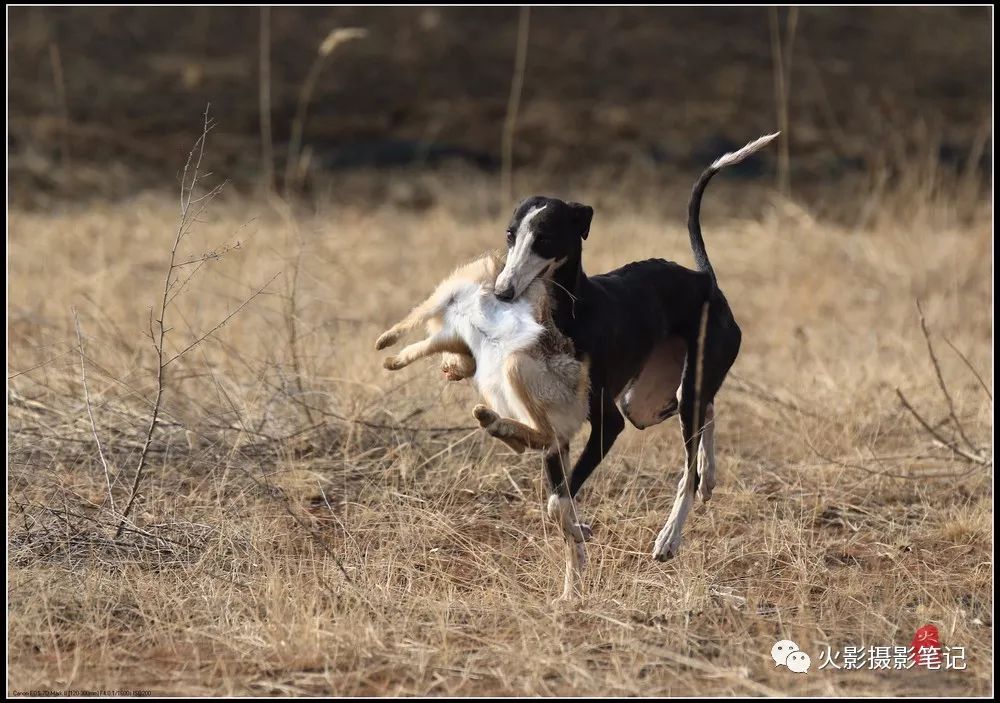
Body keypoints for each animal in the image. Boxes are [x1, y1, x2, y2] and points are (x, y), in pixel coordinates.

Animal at [494, 132, 780, 560]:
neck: (570, 313)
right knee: (708, 408)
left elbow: (557, 500)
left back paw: (670, 536)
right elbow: (558, 498)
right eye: (511, 236)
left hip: (673, 391)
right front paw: (578, 531)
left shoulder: (608, 423)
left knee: (687, 471)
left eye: (544, 239)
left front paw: (576, 530)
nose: (502, 292)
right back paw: (709, 473)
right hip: (645, 403)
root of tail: (705, 279)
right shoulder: (556, 423)